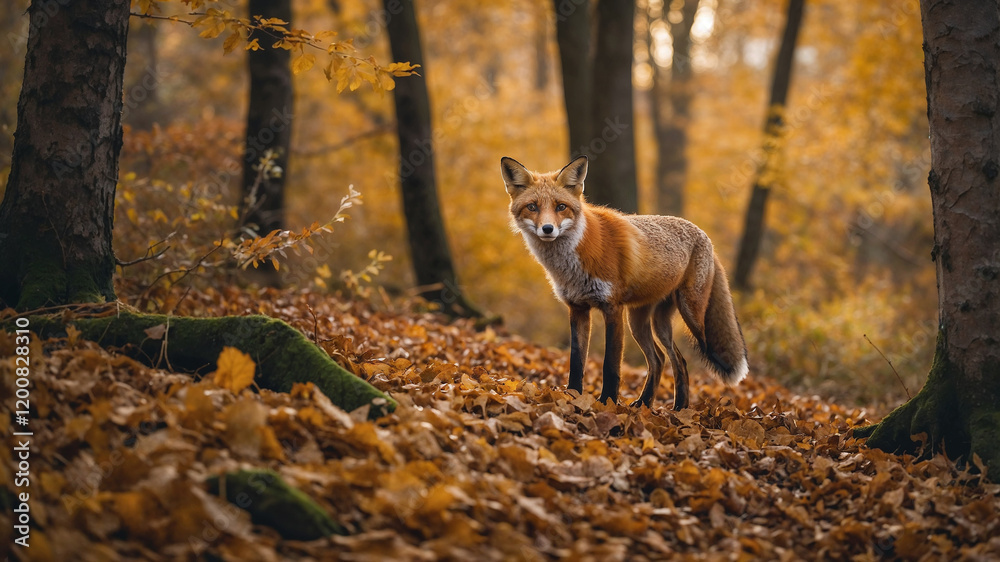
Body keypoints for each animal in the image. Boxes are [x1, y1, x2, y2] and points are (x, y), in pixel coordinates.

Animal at [501, 155, 748, 410]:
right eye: (532, 207)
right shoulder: (578, 308)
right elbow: (576, 362)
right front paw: (572, 397)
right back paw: (648, 404)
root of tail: (705, 236)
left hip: (691, 316)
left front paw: (606, 402)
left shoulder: (612, 308)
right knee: (664, 360)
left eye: (561, 206)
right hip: (644, 322)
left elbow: (610, 365)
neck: (573, 261)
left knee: (679, 359)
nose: (548, 229)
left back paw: (679, 408)